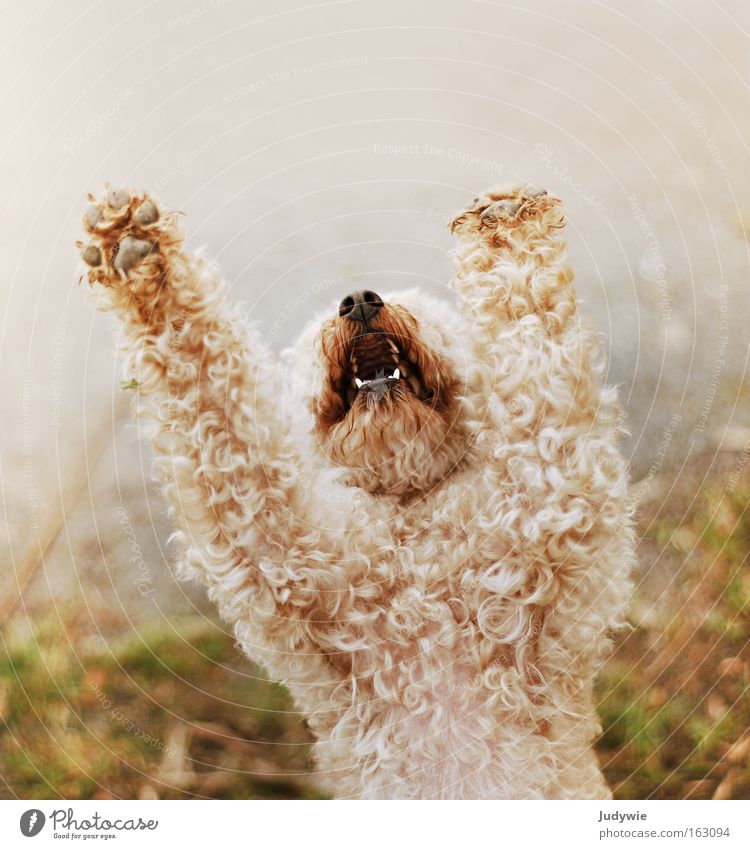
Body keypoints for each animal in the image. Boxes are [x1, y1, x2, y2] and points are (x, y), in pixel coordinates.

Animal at [79, 182, 636, 800]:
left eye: (433, 319)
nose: (361, 300)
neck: (410, 516)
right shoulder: (278, 550)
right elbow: (209, 397)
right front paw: (131, 244)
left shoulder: (551, 496)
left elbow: (532, 333)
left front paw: (505, 223)